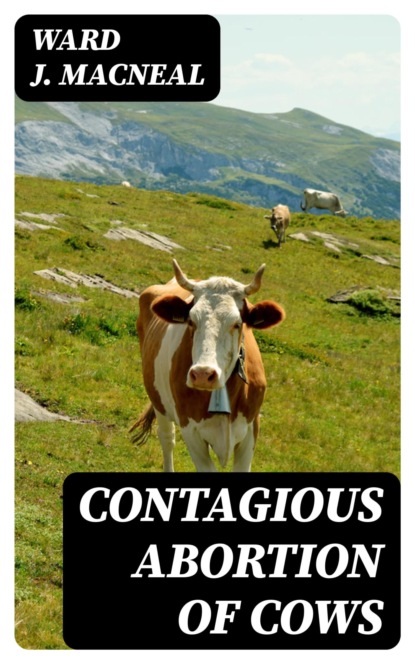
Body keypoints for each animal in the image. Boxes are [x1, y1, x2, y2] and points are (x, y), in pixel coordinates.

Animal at [131, 260, 285, 472]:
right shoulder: (191, 431)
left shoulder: (251, 428)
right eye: (191, 321)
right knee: (167, 439)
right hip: (158, 401)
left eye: (237, 323)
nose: (203, 374)